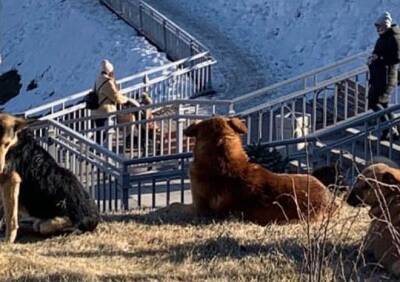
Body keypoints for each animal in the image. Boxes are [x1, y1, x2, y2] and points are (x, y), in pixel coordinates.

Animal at [0, 113, 99, 243]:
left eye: (6, 144)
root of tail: (95, 217)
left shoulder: (10, 179)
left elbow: (10, 217)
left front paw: (7, 240)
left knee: (63, 224)